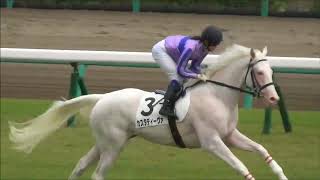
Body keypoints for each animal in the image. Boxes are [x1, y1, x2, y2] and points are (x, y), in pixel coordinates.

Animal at [8, 44, 288, 180]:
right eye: (259, 72)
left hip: (104, 143)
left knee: (80, 166)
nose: (274, 97)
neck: (217, 95)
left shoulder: (230, 135)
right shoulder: (212, 142)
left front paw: (281, 174)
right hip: (114, 145)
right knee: (97, 174)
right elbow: (240, 165)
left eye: (271, 71)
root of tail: (102, 98)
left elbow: (262, 150)